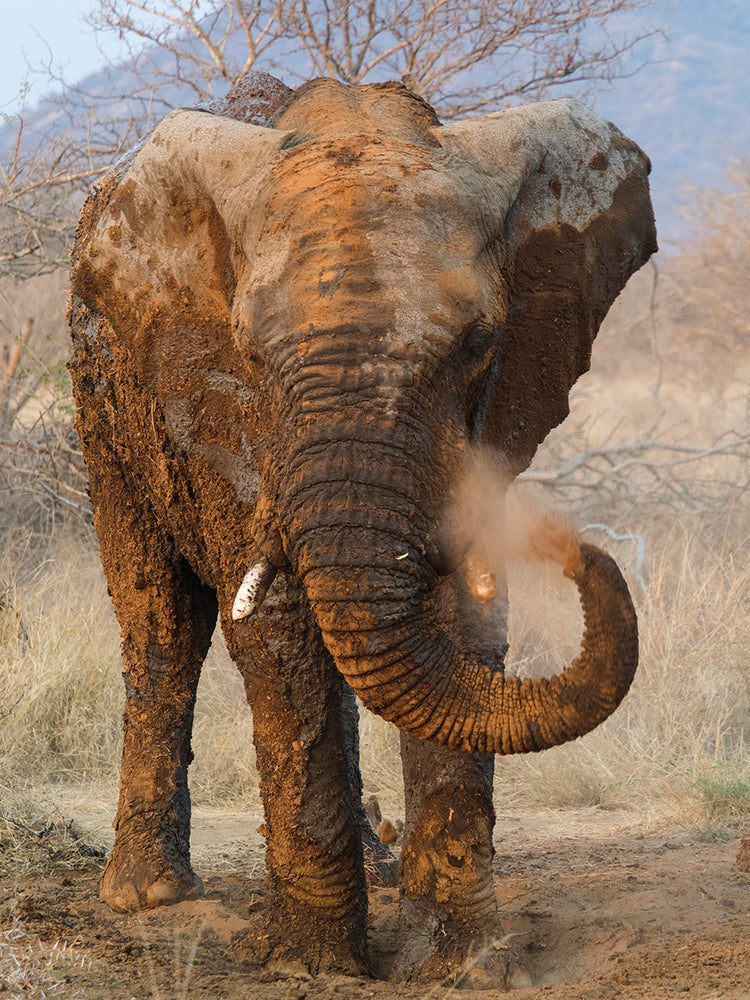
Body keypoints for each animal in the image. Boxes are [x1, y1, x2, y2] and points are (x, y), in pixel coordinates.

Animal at [68, 71, 656, 985]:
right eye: (250, 353)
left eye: (479, 344)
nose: (579, 550)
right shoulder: (219, 412)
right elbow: (272, 629)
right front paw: (313, 966)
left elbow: (462, 621)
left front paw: (462, 967)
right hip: (107, 413)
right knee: (160, 617)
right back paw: (149, 897)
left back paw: (382, 871)